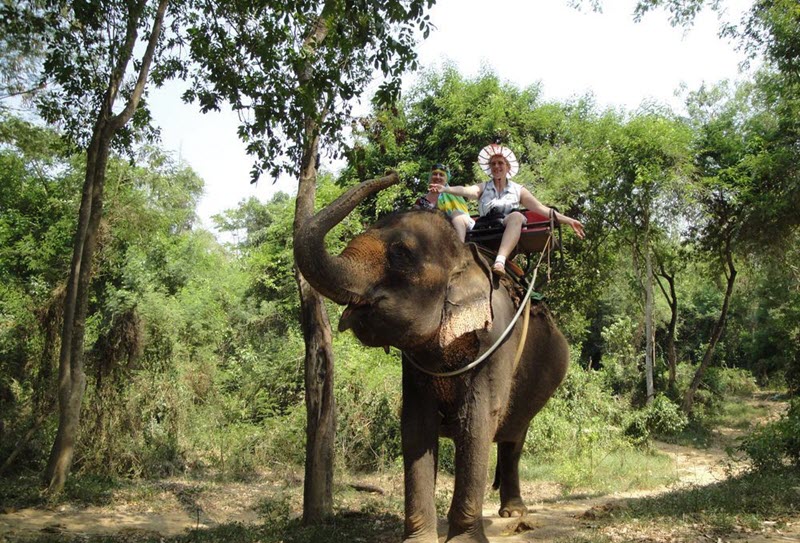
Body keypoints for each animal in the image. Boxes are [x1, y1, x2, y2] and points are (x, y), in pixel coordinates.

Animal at [294, 174, 568, 543]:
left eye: (401, 253)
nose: (393, 176)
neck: (466, 258)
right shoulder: (413, 362)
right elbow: (415, 424)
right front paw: (419, 539)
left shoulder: (495, 341)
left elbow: (476, 423)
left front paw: (464, 540)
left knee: (513, 437)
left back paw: (514, 513)